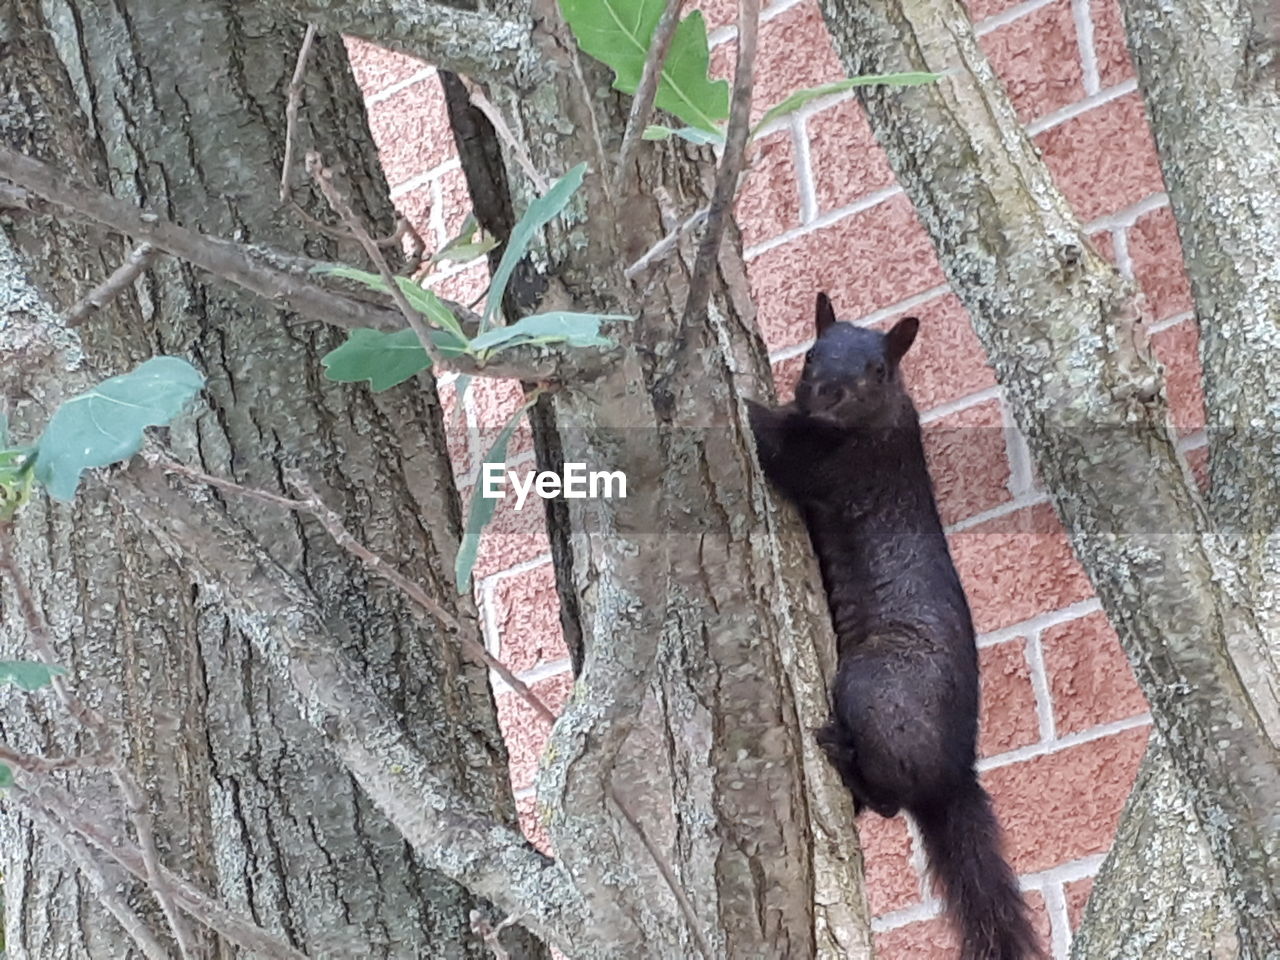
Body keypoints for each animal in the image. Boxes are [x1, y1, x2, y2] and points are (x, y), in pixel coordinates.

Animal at [747, 293, 1039, 960]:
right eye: (812, 352)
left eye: (878, 369)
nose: (825, 391)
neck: (877, 422)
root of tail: (954, 774)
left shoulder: (840, 465)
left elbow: (773, 445)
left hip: (873, 683)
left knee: (887, 800)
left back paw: (844, 754)